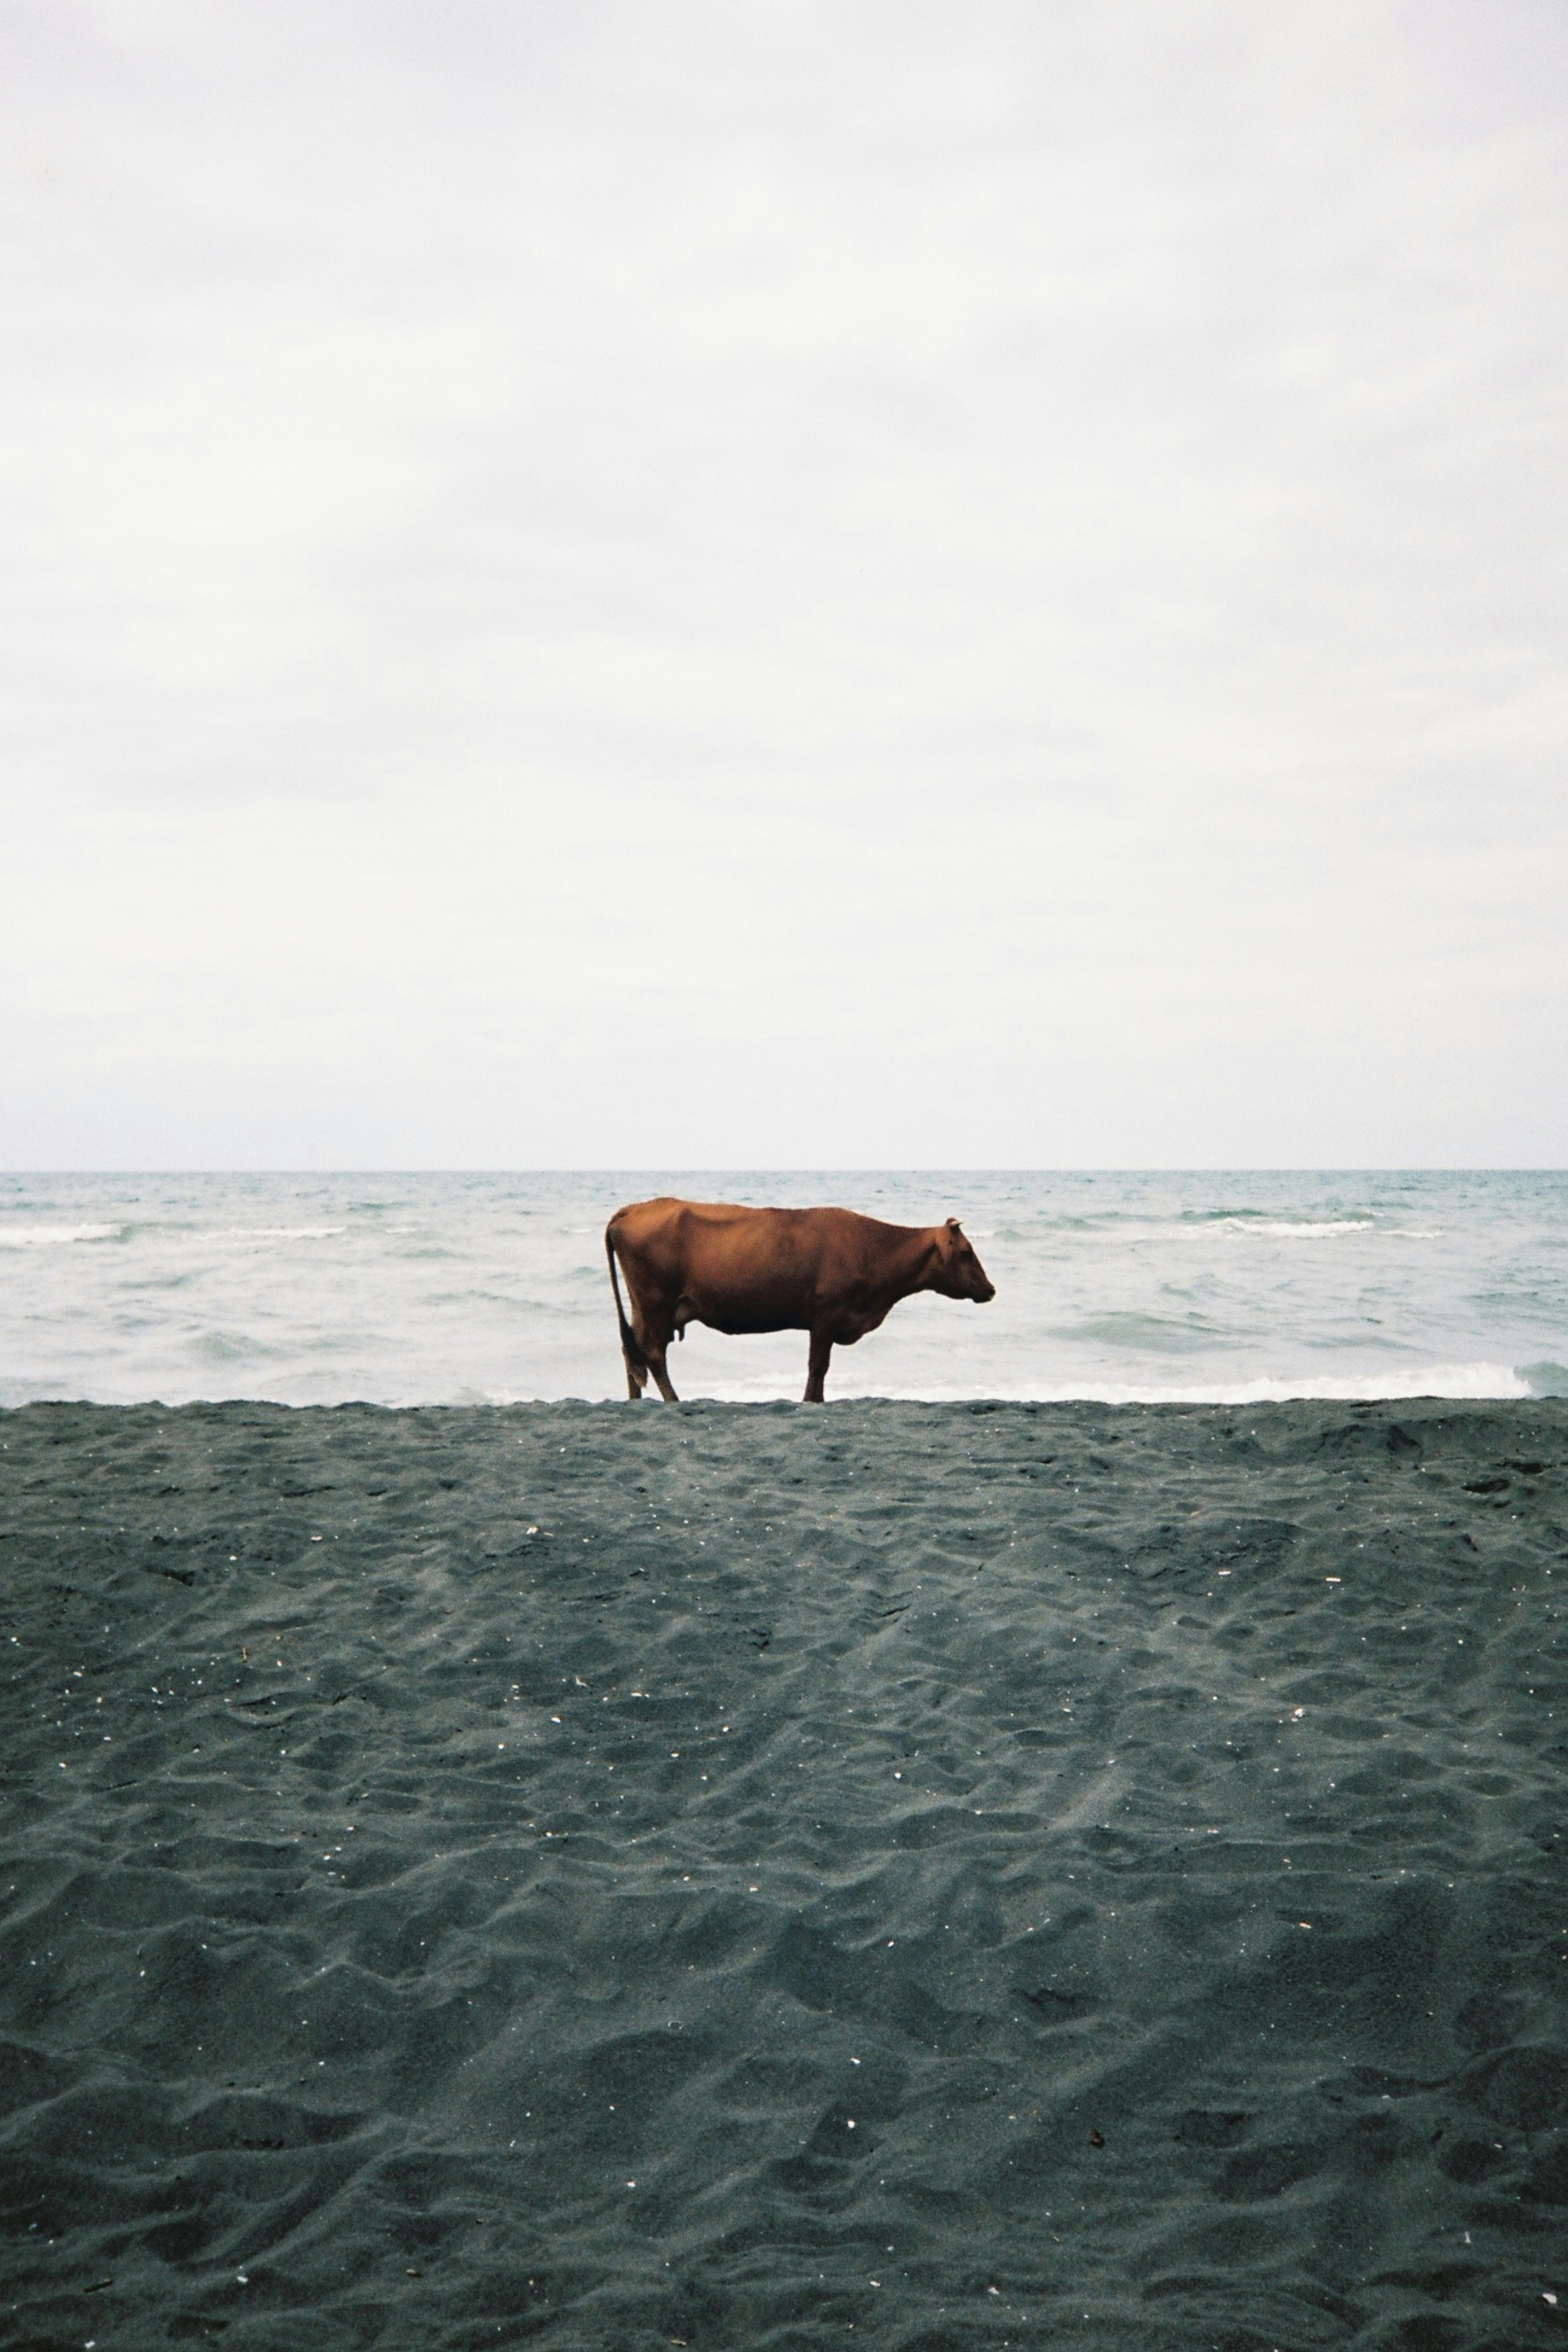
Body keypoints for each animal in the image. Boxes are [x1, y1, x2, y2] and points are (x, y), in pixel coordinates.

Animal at [604, 1197, 995, 1403]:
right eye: (966, 1252)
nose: (991, 1289)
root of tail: (637, 1208)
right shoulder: (826, 1316)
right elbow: (818, 1365)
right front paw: (812, 1401)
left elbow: (820, 1367)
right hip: (656, 1301)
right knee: (653, 1353)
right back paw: (673, 1401)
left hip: (643, 1306)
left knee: (632, 1350)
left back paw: (635, 1401)